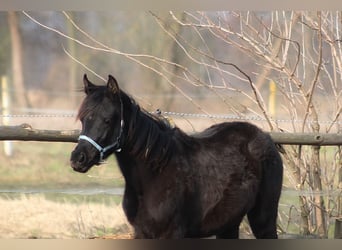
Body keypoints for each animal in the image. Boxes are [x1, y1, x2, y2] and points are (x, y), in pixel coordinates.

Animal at [70, 73, 284, 238]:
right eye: (83, 119)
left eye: (107, 120)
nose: (78, 159)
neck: (154, 173)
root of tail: (264, 137)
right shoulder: (141, 233)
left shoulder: (173, 233)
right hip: (229, 224)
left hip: (263, 219)